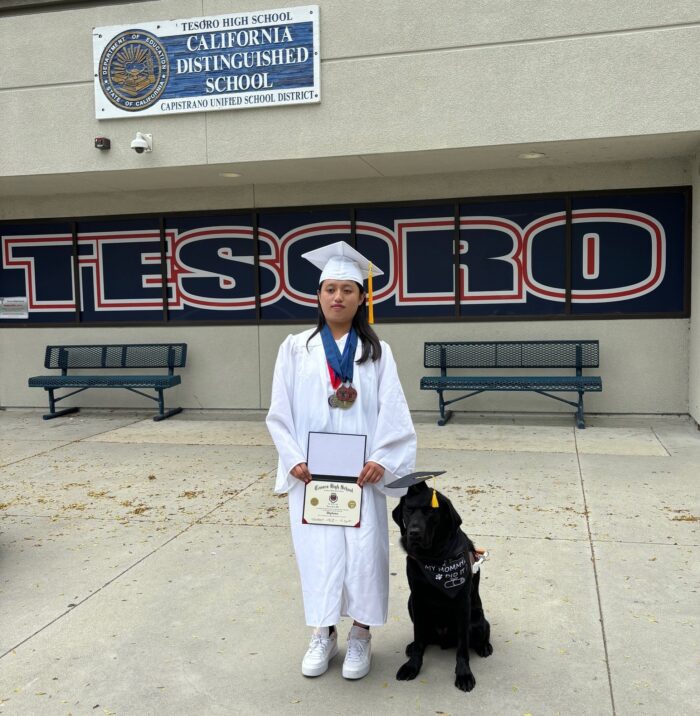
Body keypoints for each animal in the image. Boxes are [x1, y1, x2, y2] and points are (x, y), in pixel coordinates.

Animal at [392, 482, 494, 692]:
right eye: (408, 509)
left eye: (432, 512)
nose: (414, 533)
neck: (433, 555)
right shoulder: (417, 597)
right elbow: (419, 637)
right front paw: (412, 666)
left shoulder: (462, 603)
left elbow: (463, 647)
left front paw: (464, 674)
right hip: (411, 605)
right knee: (423, 638)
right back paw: (412, 646)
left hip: (478, 623)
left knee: (482, 633)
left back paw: (484, 647)